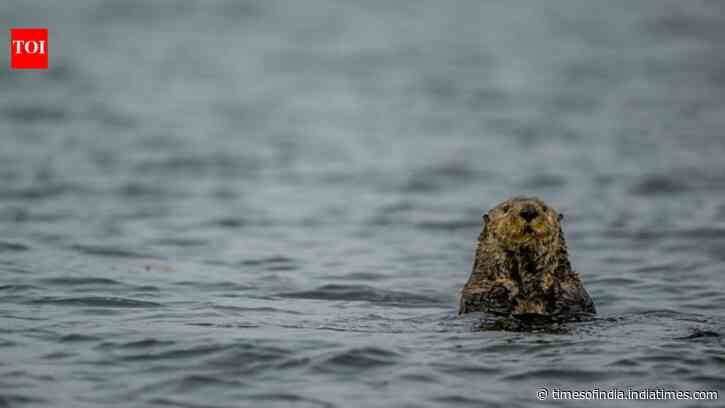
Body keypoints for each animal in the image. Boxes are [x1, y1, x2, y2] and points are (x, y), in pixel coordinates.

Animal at [459, 197, 595, 321]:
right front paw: (503, 288)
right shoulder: (476, 287)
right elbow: (480, 300)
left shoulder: (573, 286)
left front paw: (550, 284)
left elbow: (573, 299)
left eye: (544, 208)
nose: (529, 212)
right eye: (506, 209)